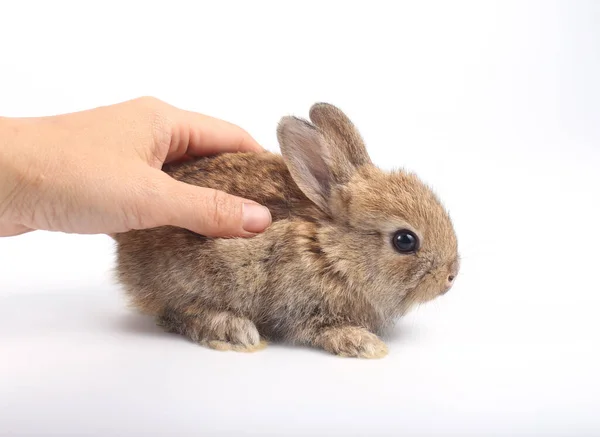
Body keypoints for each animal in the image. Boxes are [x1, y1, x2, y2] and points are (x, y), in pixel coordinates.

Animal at [113, 103, 460, 358]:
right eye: (405, 240)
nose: (451, 276)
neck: (332, 254)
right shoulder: (301, 306)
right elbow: (318, 330)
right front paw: (364, 344)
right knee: (177, 313)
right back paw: (235, 332)